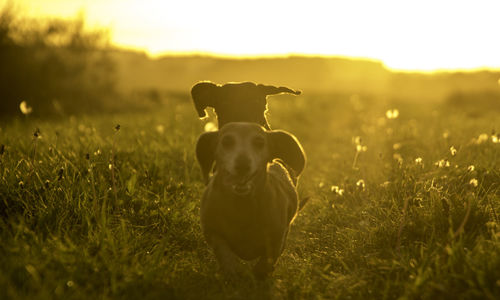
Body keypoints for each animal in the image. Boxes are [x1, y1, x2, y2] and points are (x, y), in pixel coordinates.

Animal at [194, 122, 304, 278]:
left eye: (259, 142)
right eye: (226, 141)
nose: (242, 166)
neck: (243, 207)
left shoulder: (277, 237)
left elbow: (268, 258)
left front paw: (261, 272)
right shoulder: (212, 231)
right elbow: (223, 251)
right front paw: (231, 270)